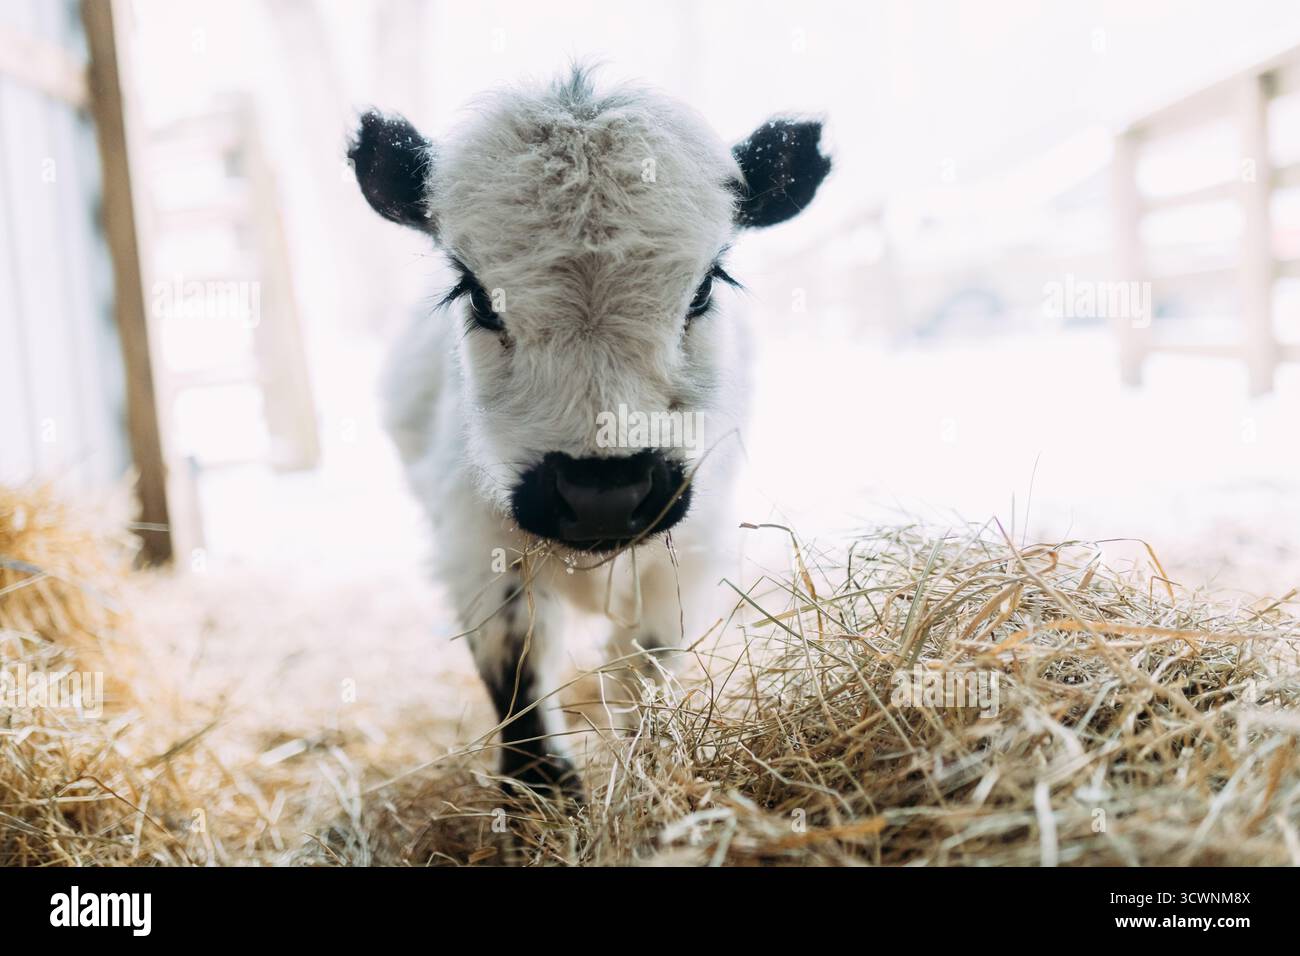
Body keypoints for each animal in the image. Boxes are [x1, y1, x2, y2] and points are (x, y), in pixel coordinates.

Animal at [349, 66, 829, 799]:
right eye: (477, 295)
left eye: (703, 289)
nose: (603, 495)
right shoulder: (475, 546)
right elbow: (514, 668)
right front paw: (538, 786)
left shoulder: (691, 552)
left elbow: (646, 671)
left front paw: (645, 761)